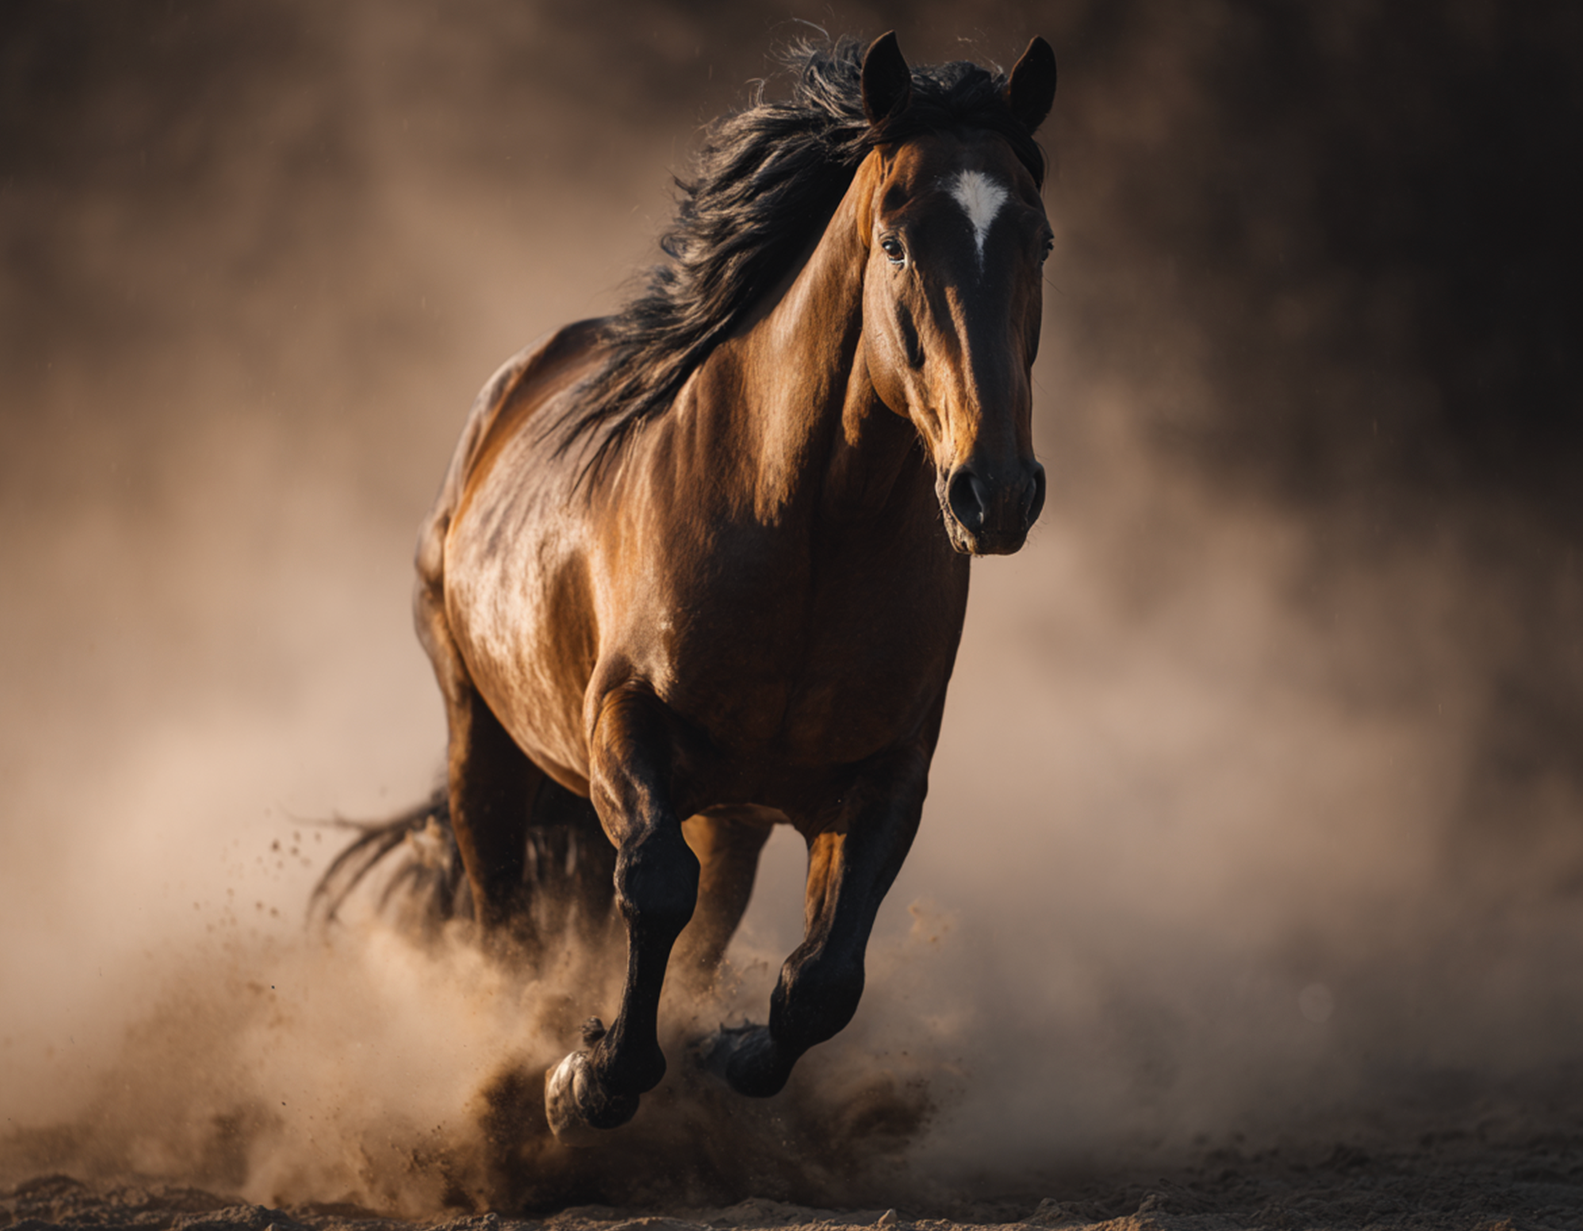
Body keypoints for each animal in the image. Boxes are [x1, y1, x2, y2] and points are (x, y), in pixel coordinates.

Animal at [316, 30, 1058, 1146]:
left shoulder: (885, 774)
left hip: (732, 813)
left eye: (1039, 240)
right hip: (482, 743)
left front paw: (725, 1049)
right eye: (893, 243)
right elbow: (655, 888)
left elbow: (821, 978)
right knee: (504, 929)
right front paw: (581, 1079)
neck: (810, 536)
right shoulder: (623, 722)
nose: (995, 492)